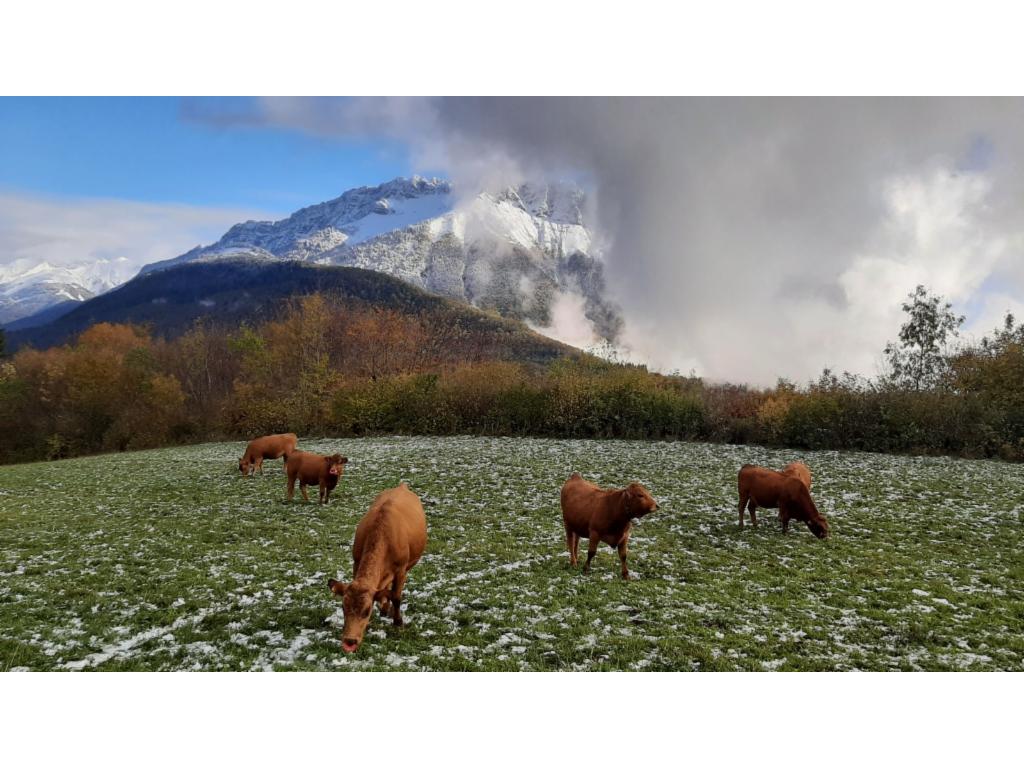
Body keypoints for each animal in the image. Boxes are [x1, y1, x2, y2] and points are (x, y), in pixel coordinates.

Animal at [325, 483, 425, 651]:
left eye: (367, 611)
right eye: (343, 607)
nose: (349, 641)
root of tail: (402, 485)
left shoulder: (401, 570)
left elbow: (396, 596)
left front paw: (398, 622)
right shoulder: (356, 562)